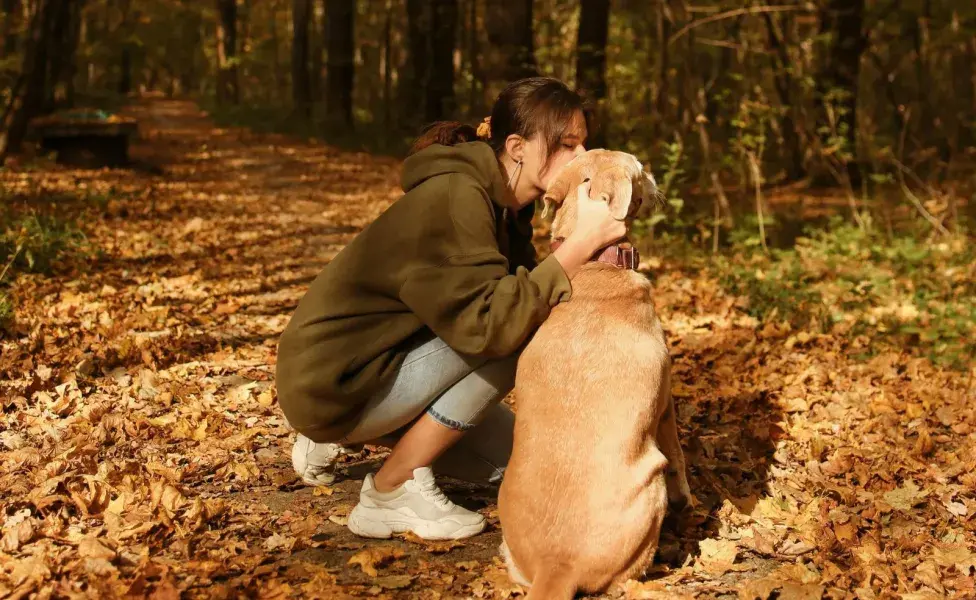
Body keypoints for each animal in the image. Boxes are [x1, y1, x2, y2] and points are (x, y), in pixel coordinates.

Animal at [496, 150, 692, 600]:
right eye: (639, 169)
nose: (655, 175)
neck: (594, 264)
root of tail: (555, 567)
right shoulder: (666, 403)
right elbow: (679, 456)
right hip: (651, 488)